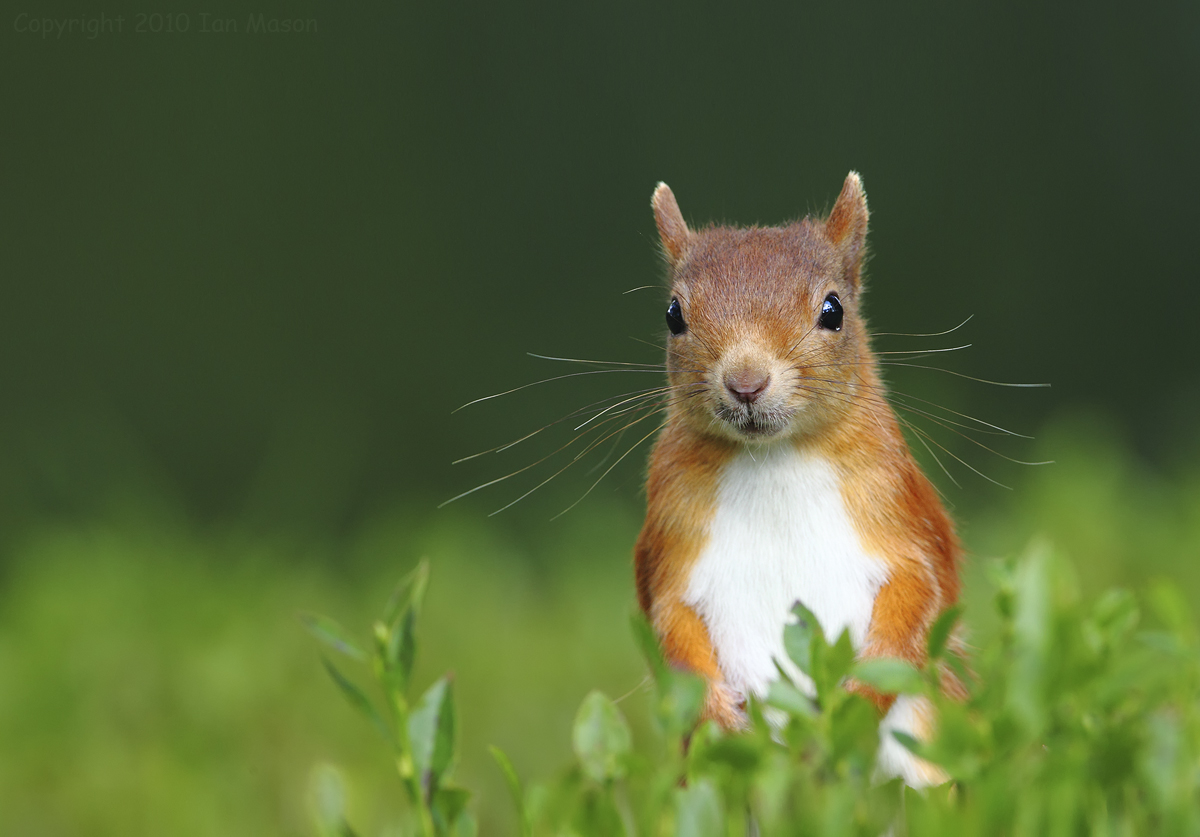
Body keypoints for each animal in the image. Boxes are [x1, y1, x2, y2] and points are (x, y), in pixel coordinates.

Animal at [634, 172, 964, 786]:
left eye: (833, 311)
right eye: (673, 314)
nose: (745, 382)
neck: (773, 458)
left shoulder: (896, 504)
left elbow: (921, 593)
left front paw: (854, 702)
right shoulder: (672, 525)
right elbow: (670, 622)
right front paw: (721, 719)